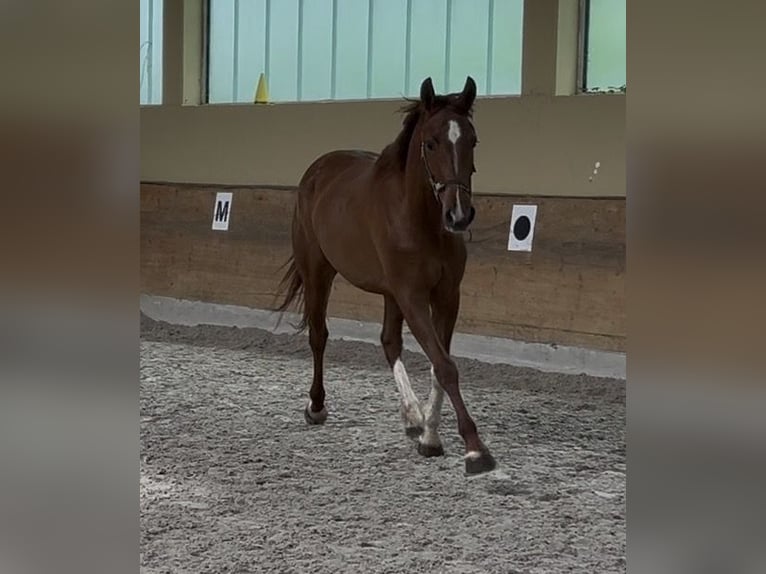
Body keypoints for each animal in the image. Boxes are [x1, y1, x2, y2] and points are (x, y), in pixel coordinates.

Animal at [276, 76, 496, 475]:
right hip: (319, 271)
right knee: (319, 335)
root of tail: (319, 168)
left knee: (389, 341)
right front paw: (474, 449)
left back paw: (412, 416)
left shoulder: (445, 296)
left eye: (472, 140)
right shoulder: (412, 296)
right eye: (431, 142)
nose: (459, 215)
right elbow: (445, 366)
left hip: (389, 293)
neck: (418, 219)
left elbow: (438, 364)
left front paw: (429, 436)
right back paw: (316, 406)